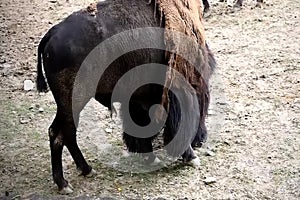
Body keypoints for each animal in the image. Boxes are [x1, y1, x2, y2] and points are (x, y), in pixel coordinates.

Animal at [36, 0, 216, 194]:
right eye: (205, 99)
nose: (201, 139)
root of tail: (51, 34)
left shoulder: (141, 97)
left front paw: (150, 157)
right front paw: (191, 158)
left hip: (70, 105)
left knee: (64, 132)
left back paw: (86, 170)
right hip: (72, 102)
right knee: (59, 133)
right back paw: (64, 183)